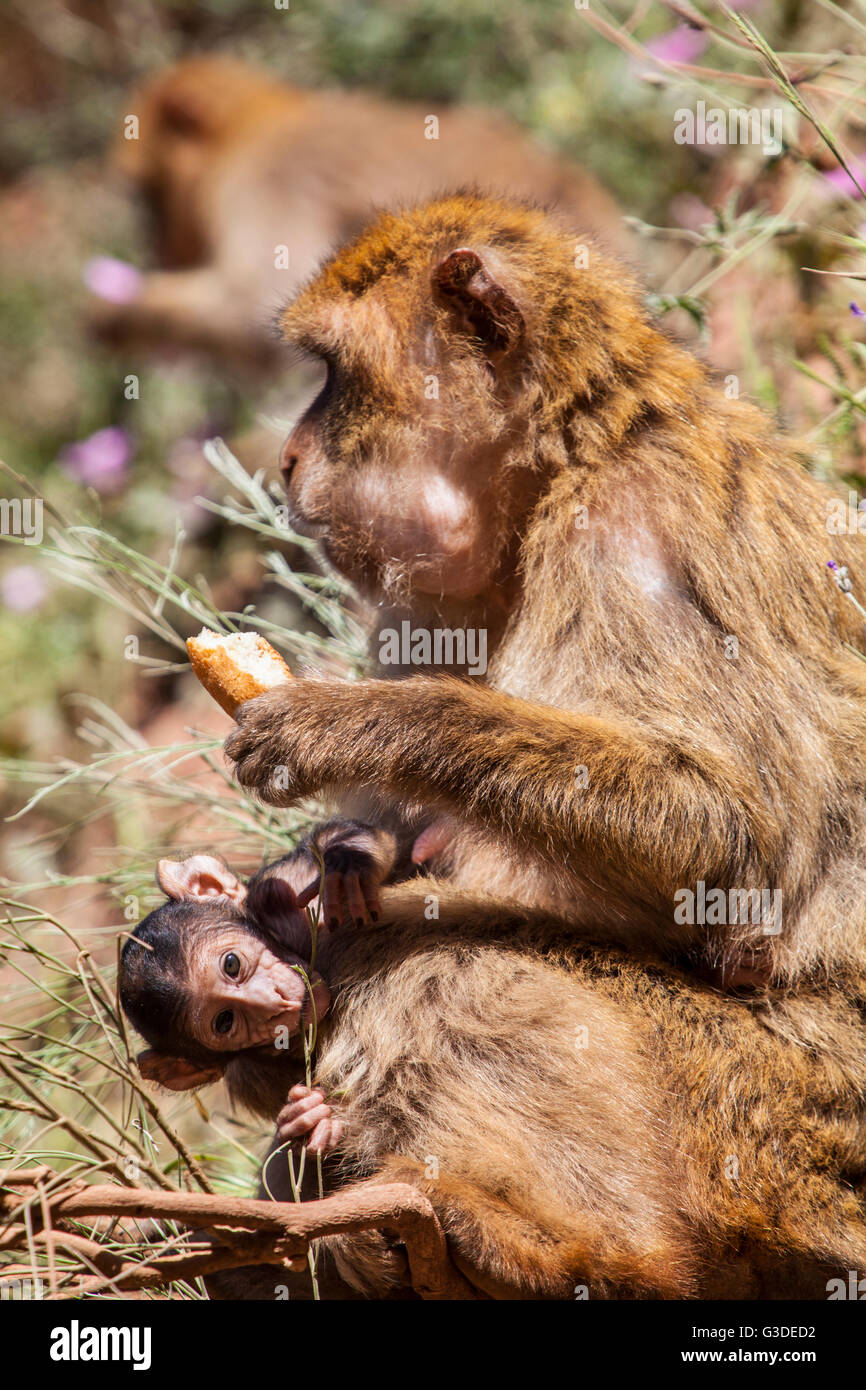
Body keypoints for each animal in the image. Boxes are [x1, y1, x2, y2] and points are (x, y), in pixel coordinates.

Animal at [91, 57, 631, 364]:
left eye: (147, 196)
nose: (161, 249)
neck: (250, 128)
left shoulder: (264, 179)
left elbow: (252, 304)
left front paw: (118, 314)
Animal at [119, 850, 866, 1300]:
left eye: (233, 964)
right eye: (224, 1020)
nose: (273, 1002)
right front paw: (308, 1129)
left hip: (761, 1102)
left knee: (451, 977)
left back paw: (590, 1263)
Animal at [216, 191, 866, 992]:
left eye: (336, 375)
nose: (287, 458)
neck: (570, 460)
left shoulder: (630, 528)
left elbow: (734, 845)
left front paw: (351, 727)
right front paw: (330, 858)